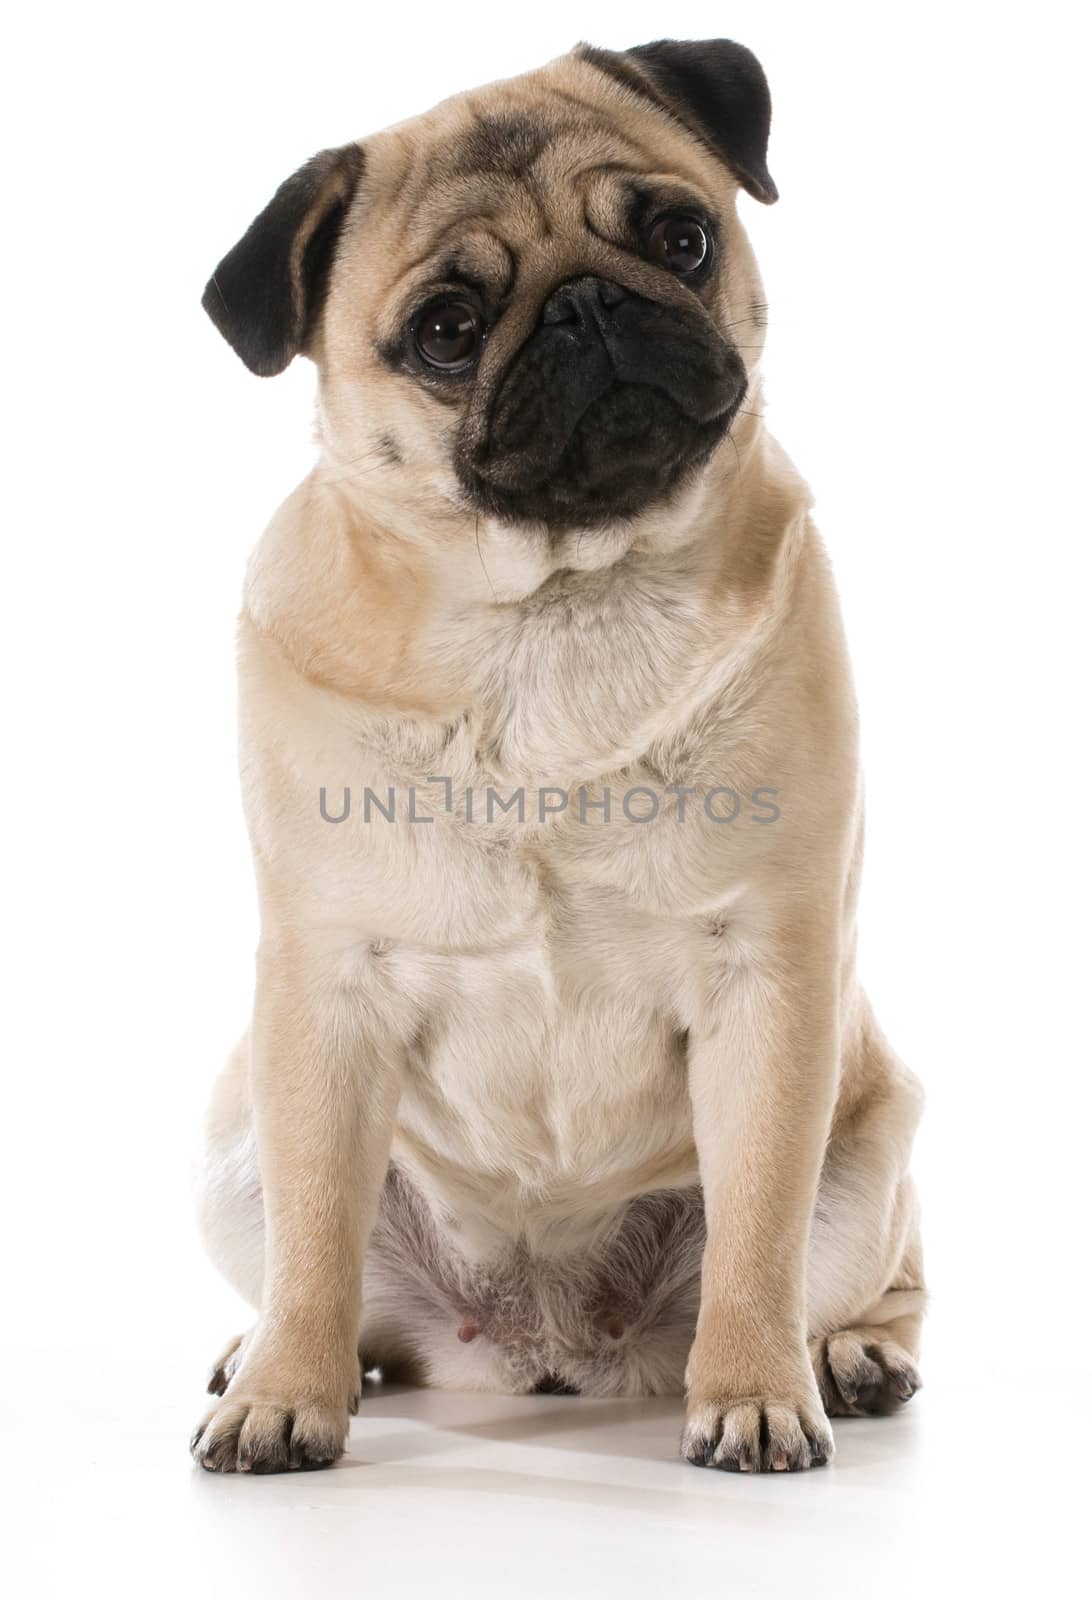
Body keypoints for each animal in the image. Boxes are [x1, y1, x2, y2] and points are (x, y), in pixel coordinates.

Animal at [193, 34, 915, 1472]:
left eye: (682, 237)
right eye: (448, 330)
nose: (587, 305)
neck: (558, 606)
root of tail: (549, 1352)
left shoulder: (771, 979)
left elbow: (758, 1232)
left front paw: (753, 1391)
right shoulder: (321, 993)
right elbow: (315, 1234)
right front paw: (286, 1392)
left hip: (871, 1153)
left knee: (862, 1277)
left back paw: (849, 1357)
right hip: (232, 1134)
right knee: (328, 1267)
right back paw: (271, 1355)